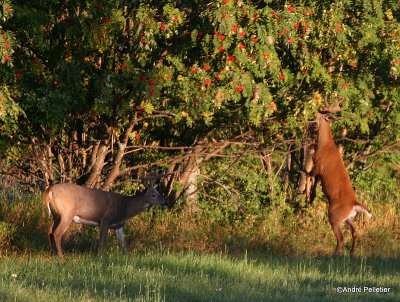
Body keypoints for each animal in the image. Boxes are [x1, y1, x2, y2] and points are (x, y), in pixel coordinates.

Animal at [310, 96, 372, 255]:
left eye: (321, 112)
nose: (314, 112)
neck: (325, 144)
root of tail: (354, 204)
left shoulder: (318, 165)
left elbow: (309, 174)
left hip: (334, 216)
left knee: (341, 238)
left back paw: (333, 255)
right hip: (349, 219)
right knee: (355, 233)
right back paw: (351, 254)